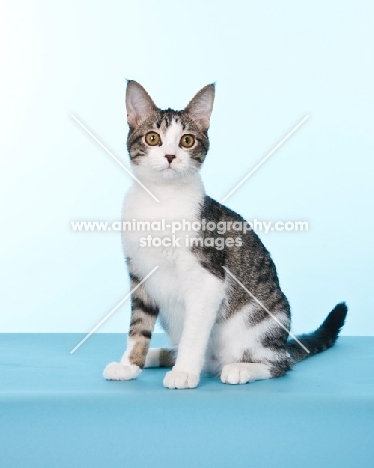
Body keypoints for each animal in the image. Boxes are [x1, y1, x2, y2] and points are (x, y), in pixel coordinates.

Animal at [103, 80, 348, 388]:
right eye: (152, 138)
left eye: (187, 141)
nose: (170, 156)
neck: (161, 199)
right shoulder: (139, 275)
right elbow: (138, 326)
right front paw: (129, 365)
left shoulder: (208, 279)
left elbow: (194, 332)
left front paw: (184, 372)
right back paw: (158, 355)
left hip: (260, 323)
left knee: (280, 365)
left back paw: (239, 368)